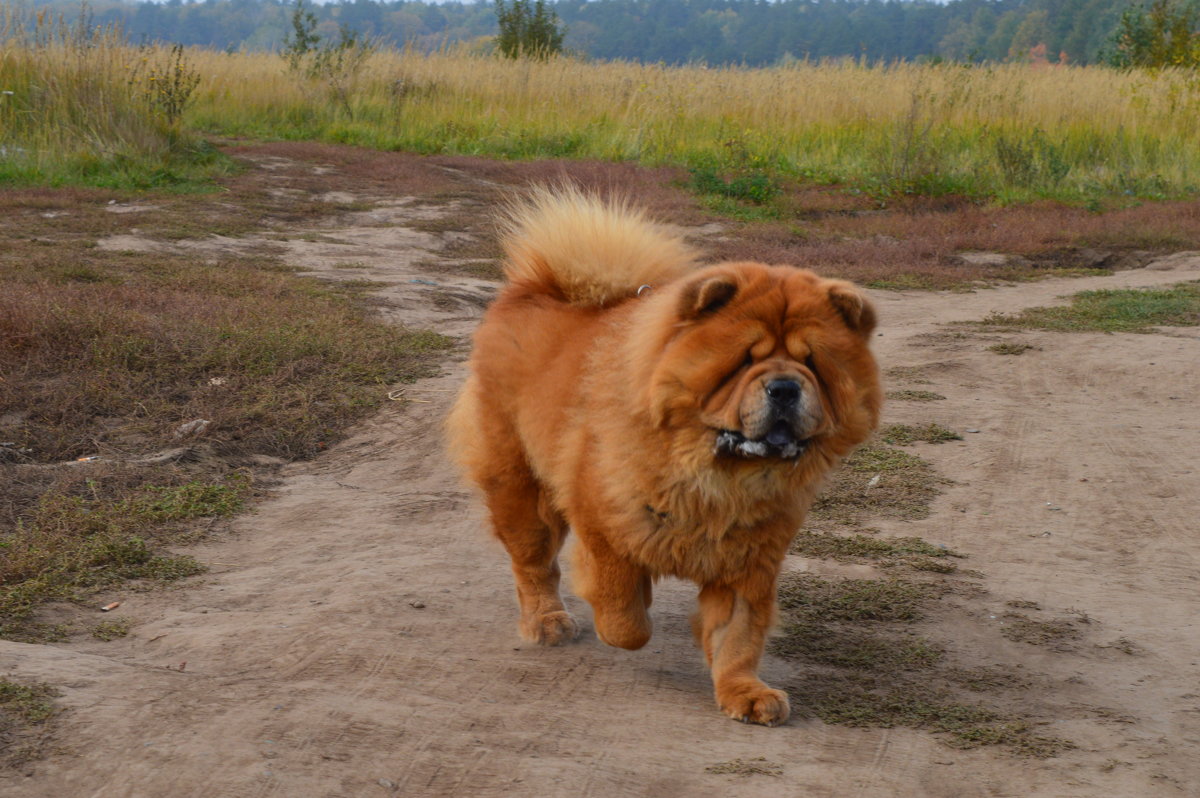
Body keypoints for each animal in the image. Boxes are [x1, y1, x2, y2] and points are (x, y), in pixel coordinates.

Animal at [451, 184, 883, 720]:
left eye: (813, 365)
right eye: (744, 361)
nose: (784, 387)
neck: (719, 477)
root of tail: (533, 287)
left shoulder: (751, 561)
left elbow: (739, 636)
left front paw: (745, 693)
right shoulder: (606, 525)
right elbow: (624, 617)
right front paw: (633, 612)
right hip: (520, 486)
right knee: (533, 564)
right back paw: (547, 622)